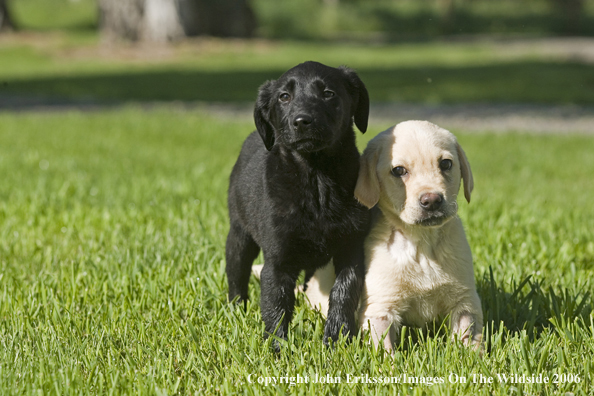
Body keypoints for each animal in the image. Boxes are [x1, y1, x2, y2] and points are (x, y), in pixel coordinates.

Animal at [224, 61, 368, 346]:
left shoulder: (351, 250)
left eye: (328, 93)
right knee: (237, 273)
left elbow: (343, 293)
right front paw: (277, 348)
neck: (317, 182)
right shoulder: (277, 261)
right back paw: (236, 309)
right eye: (284, 97)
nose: (302, 121)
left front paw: (336, 340)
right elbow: (276, 306)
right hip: (239, 235)